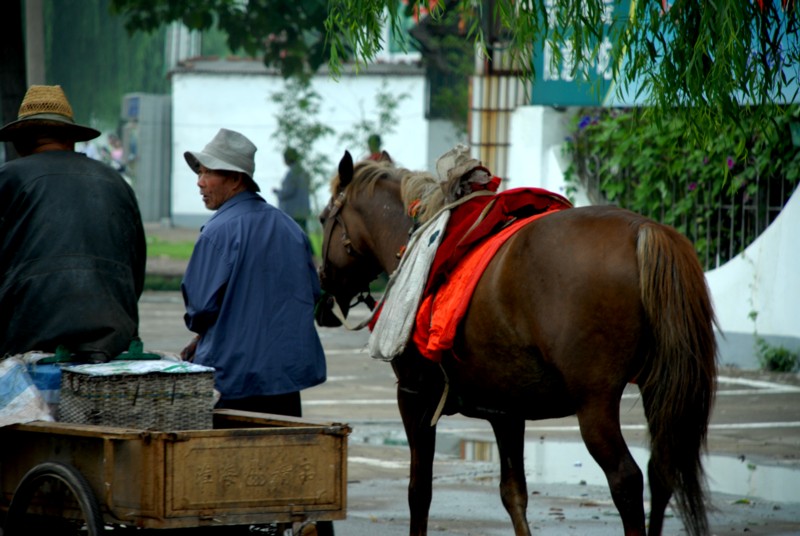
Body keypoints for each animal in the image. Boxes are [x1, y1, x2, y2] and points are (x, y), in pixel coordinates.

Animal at [318, 151, 720, 536]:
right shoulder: (506, 411)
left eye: (323, 219)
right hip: (657, 386)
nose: (323, 303)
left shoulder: (414, 396)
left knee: (626, 479)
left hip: (595, 403)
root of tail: (643, 229)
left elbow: (420, 491)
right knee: (662, 471)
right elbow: (513, 492)